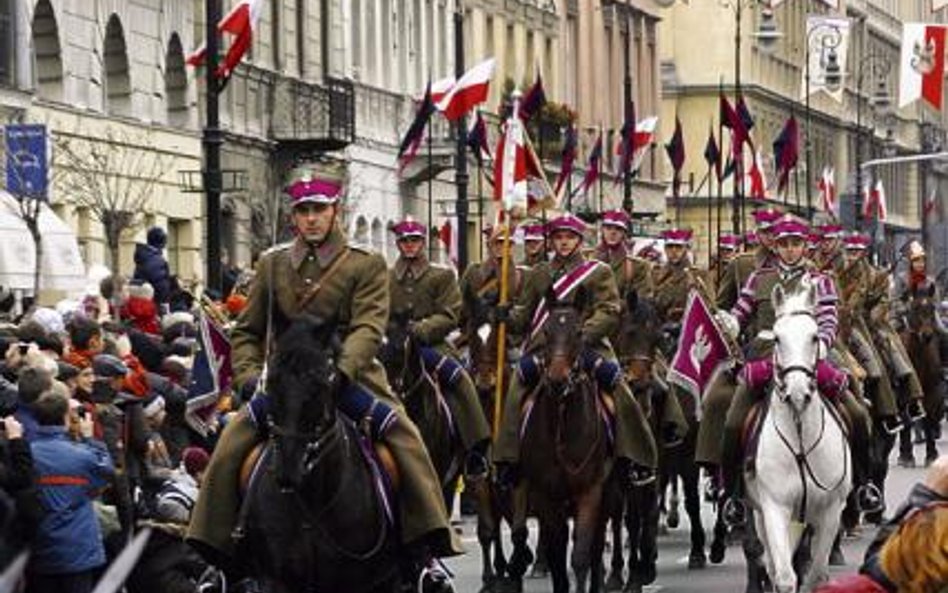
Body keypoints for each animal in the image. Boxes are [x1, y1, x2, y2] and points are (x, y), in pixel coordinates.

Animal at [520, 288, 608, 592]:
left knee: (596, 547)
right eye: (546, 331)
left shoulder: (591, 492)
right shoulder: (546, 496)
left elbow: (581, 556)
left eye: (579, 332)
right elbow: (558, 558)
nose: (557, 380)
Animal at [748, 278, 852, 592]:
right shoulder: (774, 507)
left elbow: (816, 574)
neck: (800, 440)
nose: (797, 393)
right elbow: (783, 575)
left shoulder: (831, 512)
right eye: (777, 339)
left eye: (814, 337)